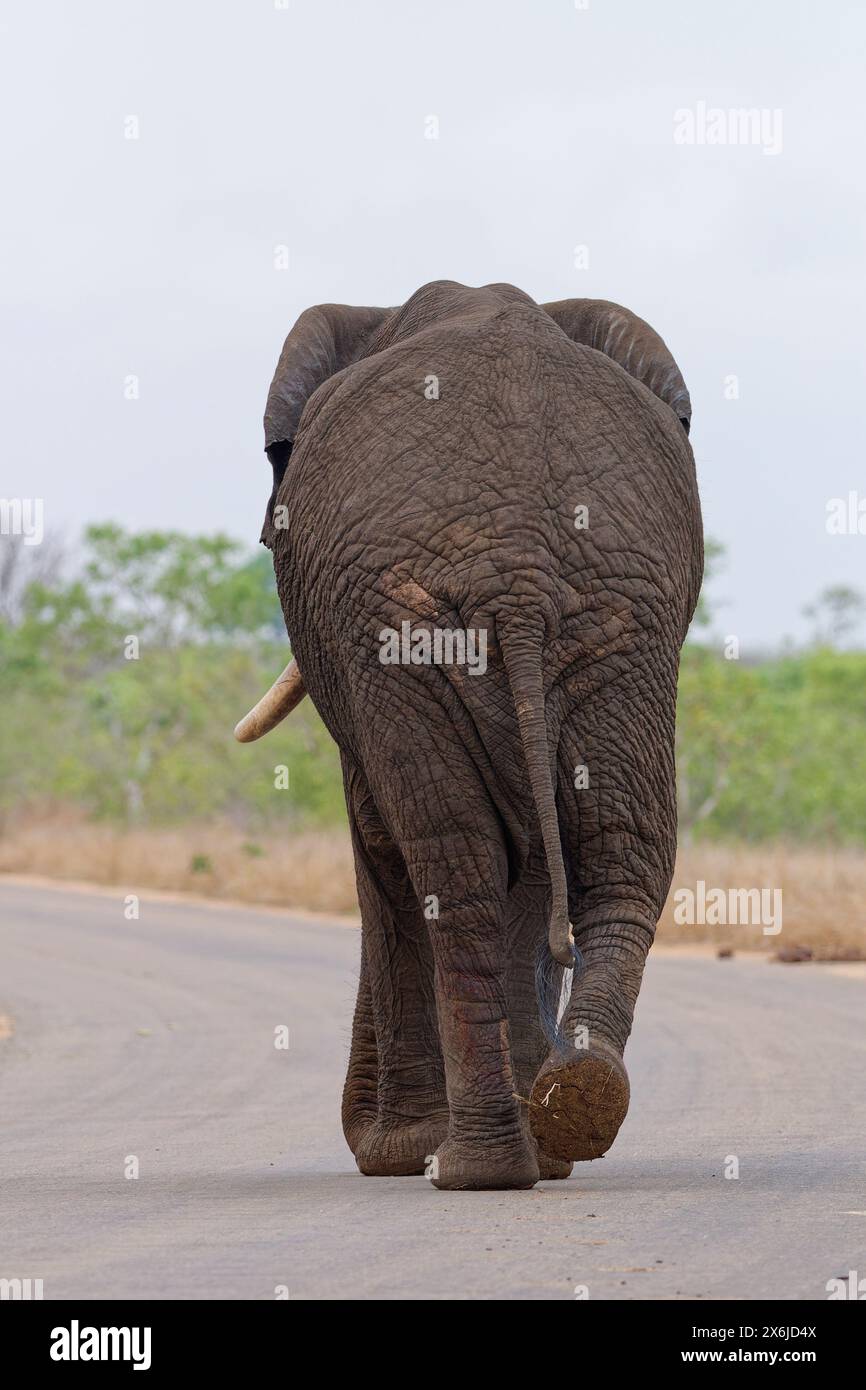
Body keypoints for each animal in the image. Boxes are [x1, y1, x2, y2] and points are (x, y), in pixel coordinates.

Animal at [237, 282, 706, 1195]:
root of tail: (519, 574)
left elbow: (381, 835)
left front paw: (393, 1152)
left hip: (410, 624)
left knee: (450, 854)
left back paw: (470, 1163)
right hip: (618, 615)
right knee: (615, 841)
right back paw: (570, 1110)